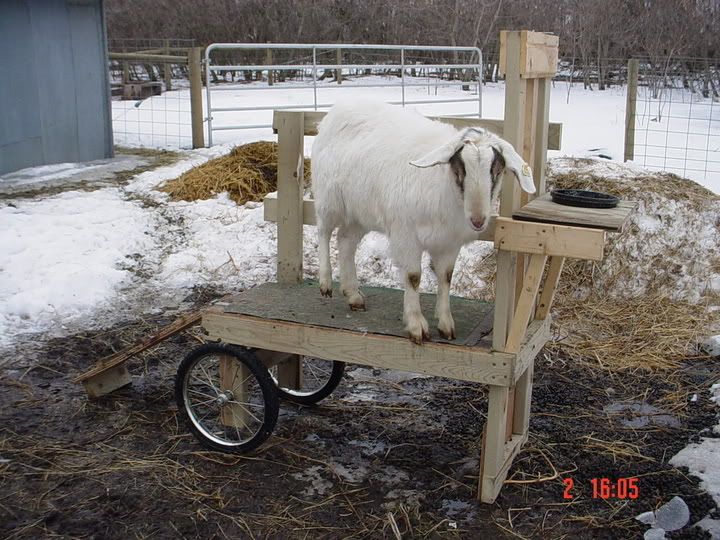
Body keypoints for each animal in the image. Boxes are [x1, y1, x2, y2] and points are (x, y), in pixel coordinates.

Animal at [311, 100, 536, 344]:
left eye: (497, 170)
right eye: (459, 168)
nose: (478, 220)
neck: (444, 187)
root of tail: (338, 109)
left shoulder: (449, 242)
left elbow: (446, 277)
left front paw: (446, 324)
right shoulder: (406, 234)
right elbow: (413, 277)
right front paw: (416, 325)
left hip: (360, 212)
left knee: (345, 241)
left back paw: (353, 295)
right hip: (329, 198)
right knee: (323, 230)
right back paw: (325, 283)